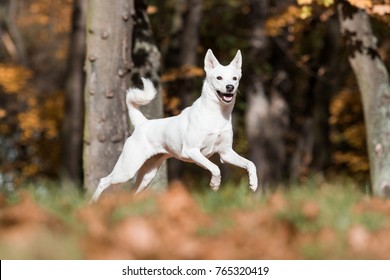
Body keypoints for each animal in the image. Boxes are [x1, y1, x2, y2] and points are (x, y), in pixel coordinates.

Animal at [90, 50, 258, 202]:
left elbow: (251, 164)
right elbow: (215, 168)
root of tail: (142, 123)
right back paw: (92, 203)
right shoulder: (192, 151)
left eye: (235, 78)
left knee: (132, 191)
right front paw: (215, 184)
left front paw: (253, 183)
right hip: (127, 169)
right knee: (103, 181)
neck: (216, 115)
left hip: (147, 176)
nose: (230, 87)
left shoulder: (225, 153)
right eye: (219, 77)